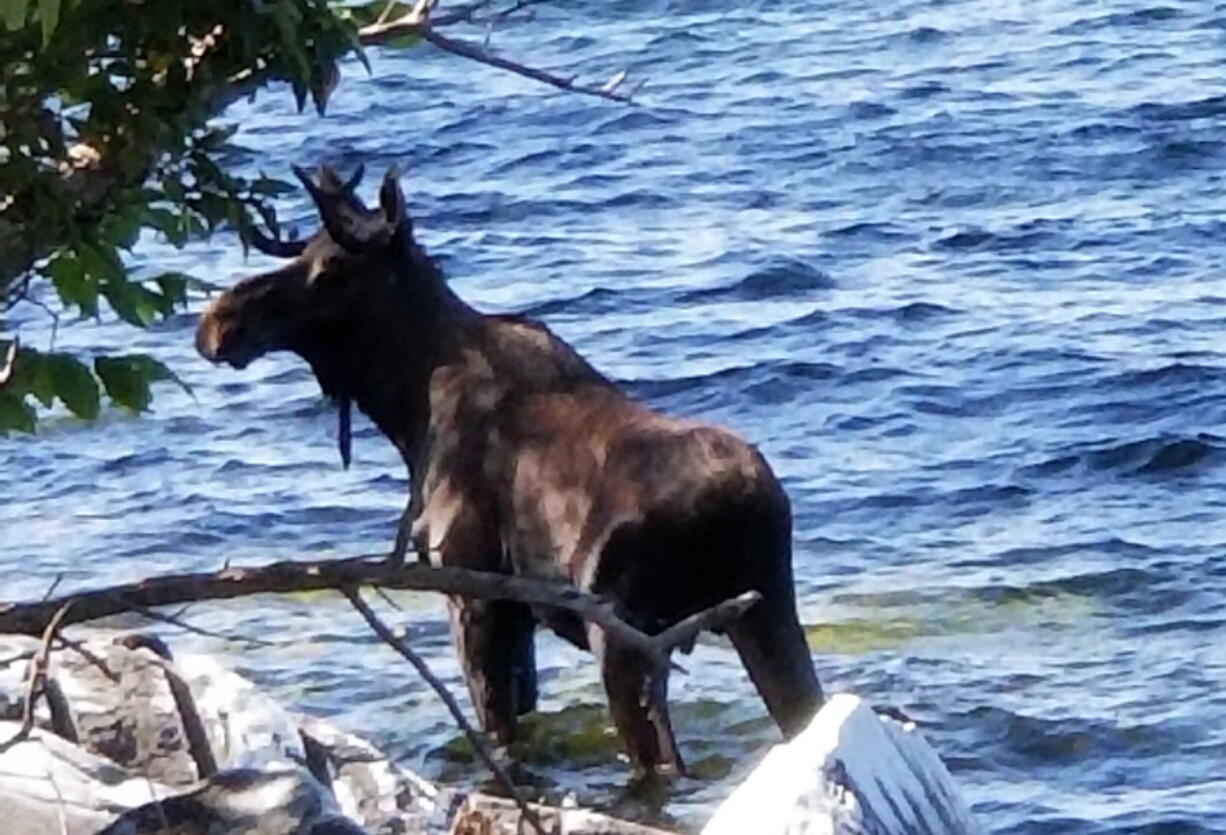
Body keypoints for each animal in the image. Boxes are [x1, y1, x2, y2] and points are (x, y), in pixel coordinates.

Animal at [193, 164, 823, 774]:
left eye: (331, 271)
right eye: (301, 256)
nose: (218, 323)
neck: (405, 403)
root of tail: (735, 505)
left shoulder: (474, 598)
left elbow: (499, 734)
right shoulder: (515, 616)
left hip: (626, 640)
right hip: (765, 613)